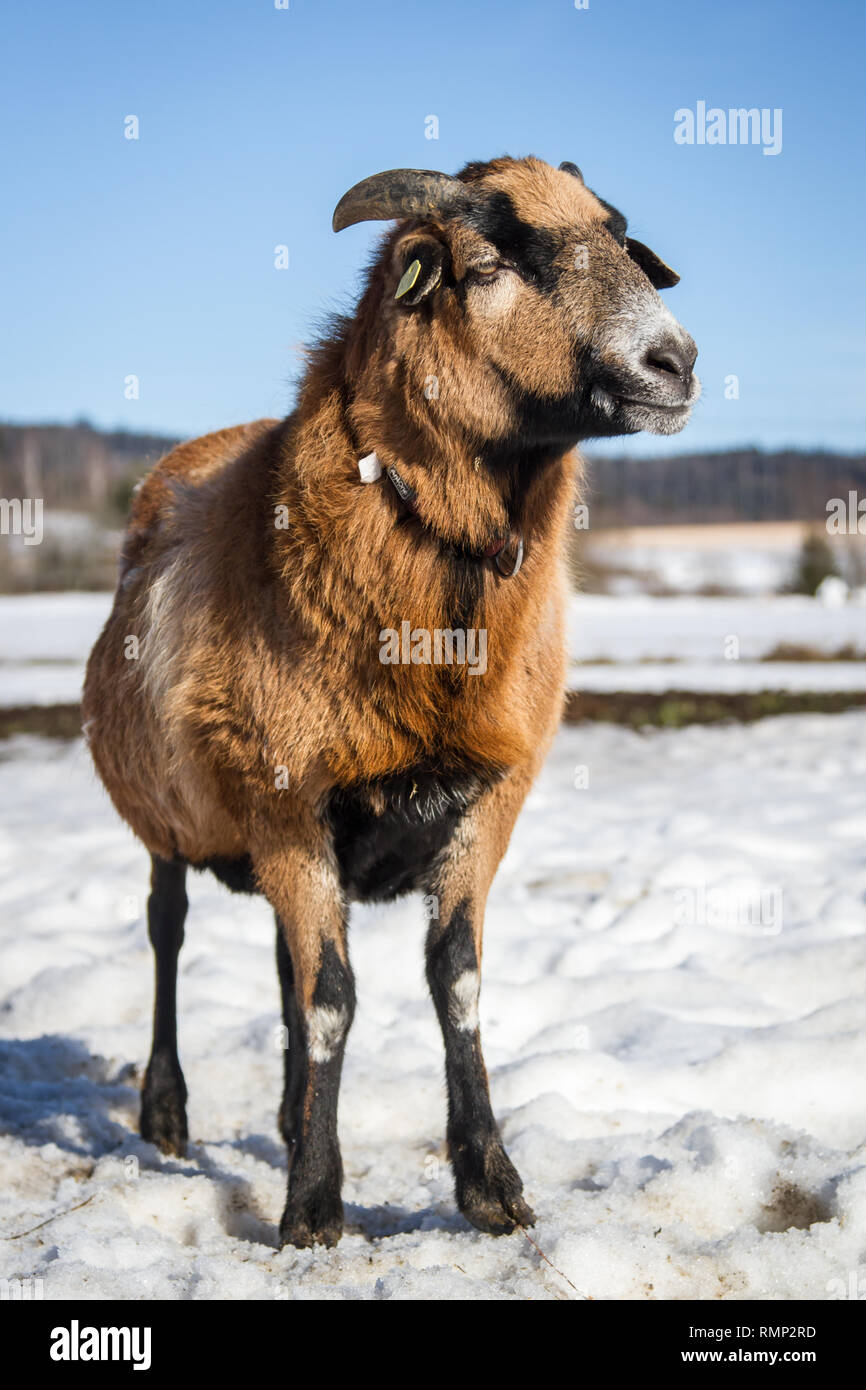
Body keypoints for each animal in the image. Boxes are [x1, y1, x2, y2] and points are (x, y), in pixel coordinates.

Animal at [83, 154, 697, 1251]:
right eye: (488, 264)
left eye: (623, 244)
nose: (673, 362)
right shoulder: (287, 801)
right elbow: (332, 1000)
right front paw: (313, 1207)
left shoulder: (487, 799)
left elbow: (451, 981)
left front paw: (489, 1183)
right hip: (171, 817)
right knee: (167, 931)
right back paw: (166, 1111)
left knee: (284, 972)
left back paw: (290, 1115)